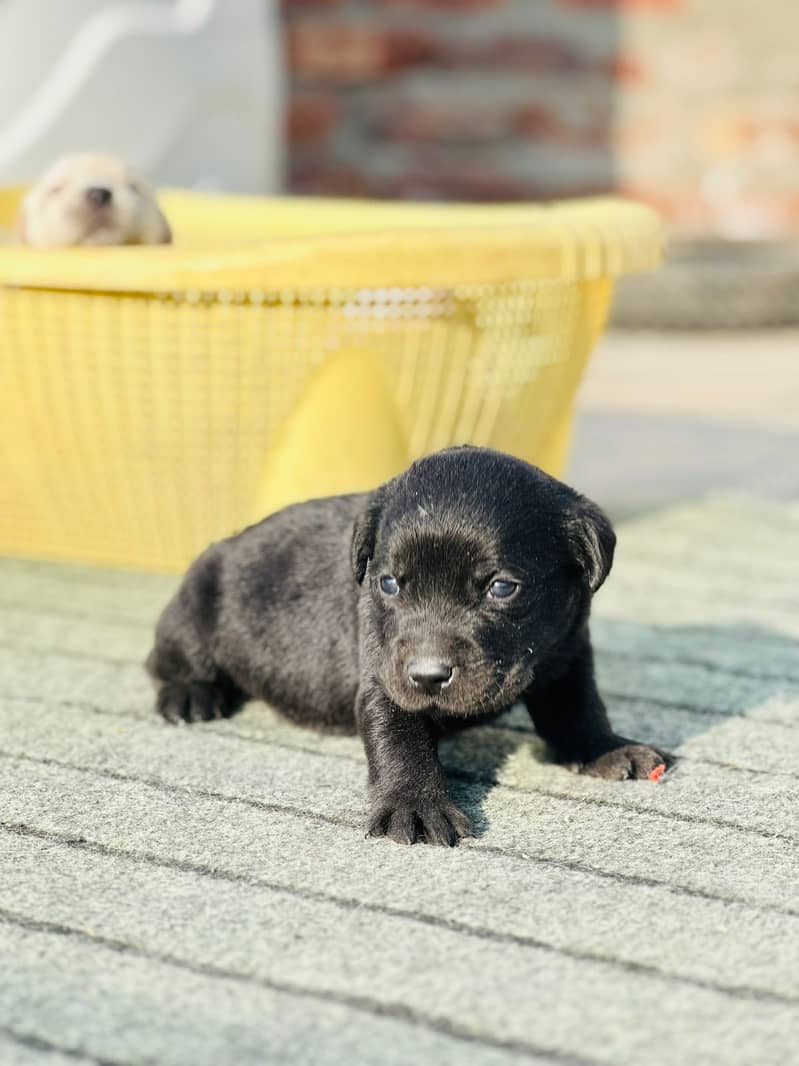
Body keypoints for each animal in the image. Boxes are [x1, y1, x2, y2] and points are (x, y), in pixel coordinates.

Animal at [145, 445, 669, 844]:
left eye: (501, 588)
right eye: (389, 584)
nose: (428, 675)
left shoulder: (567, 653)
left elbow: (579, 707)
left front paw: (606, 748)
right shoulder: (385, 674)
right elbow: (399, 736)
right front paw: (415, 804)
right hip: (196, 600)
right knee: (168, 659)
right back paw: (191, 695)